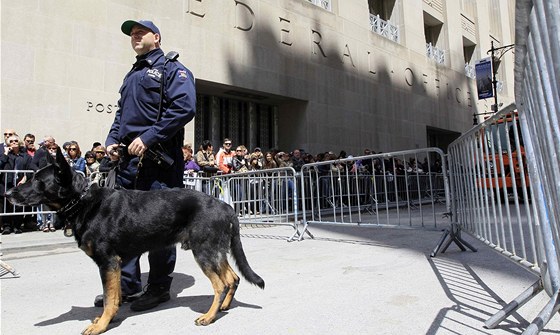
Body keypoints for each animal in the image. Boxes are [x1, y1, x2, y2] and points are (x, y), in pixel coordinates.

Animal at [5, 150, 264, 335]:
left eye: (37, 180)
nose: (7, 194)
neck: (81, 200)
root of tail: (225, 205)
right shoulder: (115, 265)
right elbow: (115, 296)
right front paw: (109, 319)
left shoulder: (108, 263)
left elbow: (110, 298)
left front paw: (101, 326)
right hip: (214, 251)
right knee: (232, 278)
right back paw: (223, 307)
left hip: (204, 252)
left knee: (220, 284)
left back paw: (209, 316)